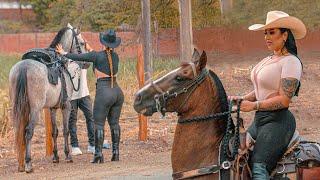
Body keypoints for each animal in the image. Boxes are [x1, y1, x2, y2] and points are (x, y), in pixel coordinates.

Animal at [9, 23, 86, 173]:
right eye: (81, 43)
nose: (86, 63)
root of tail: (24, 67)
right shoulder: (66, 106)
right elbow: (65, 130)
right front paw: (67, 155)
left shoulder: (52, 108)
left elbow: (54, 132)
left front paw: (56, 157)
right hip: (35, 109)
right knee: (28, 132)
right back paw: (28, 163)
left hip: (21, 108)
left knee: (20, 131)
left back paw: (21, 165)